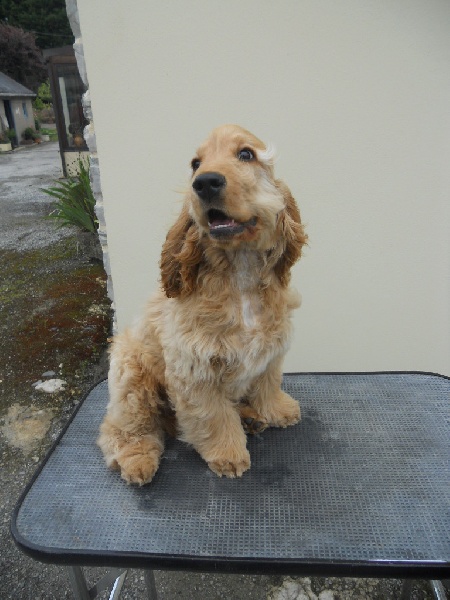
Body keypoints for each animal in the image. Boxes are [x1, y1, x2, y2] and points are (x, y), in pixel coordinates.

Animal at [98, 124, 307, 485]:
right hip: (131, 377)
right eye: (196, 163)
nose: (205, 182)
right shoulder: (194, 369)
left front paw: (277, 410)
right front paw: (228, 455)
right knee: (122, 428)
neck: (239, 275)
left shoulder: (271, 351)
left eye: (246, 154)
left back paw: (250, 416)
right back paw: (138, 460)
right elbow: (214, 415)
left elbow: (267, 383)